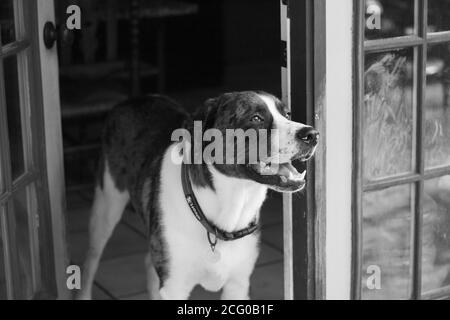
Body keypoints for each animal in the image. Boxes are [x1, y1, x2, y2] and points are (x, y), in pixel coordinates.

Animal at [76, 90, 316, 300]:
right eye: (256, 118)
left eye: (287, 114)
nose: (312, 134)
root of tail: (133, 99)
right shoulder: (175, 286)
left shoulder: (238, 283)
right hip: (106, 204)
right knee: (91, 258)